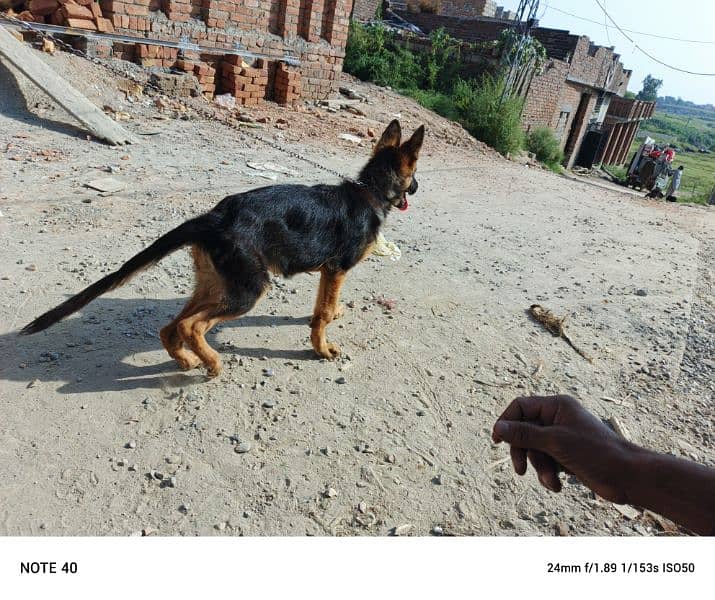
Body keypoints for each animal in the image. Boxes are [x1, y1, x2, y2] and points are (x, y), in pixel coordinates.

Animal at [21, 119, 426, 378]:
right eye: (415, 172)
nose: (418, 188)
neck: (370, 191)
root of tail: (214, 216)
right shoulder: (337, 268)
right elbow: (322, 314)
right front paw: (322, 349)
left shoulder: (328, 273)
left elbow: (322, 308)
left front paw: (332, 318)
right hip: (249, 289)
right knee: (192, 325)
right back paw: (212, 364)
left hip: (218, 281)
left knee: (172, 327)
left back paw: (187, 361)